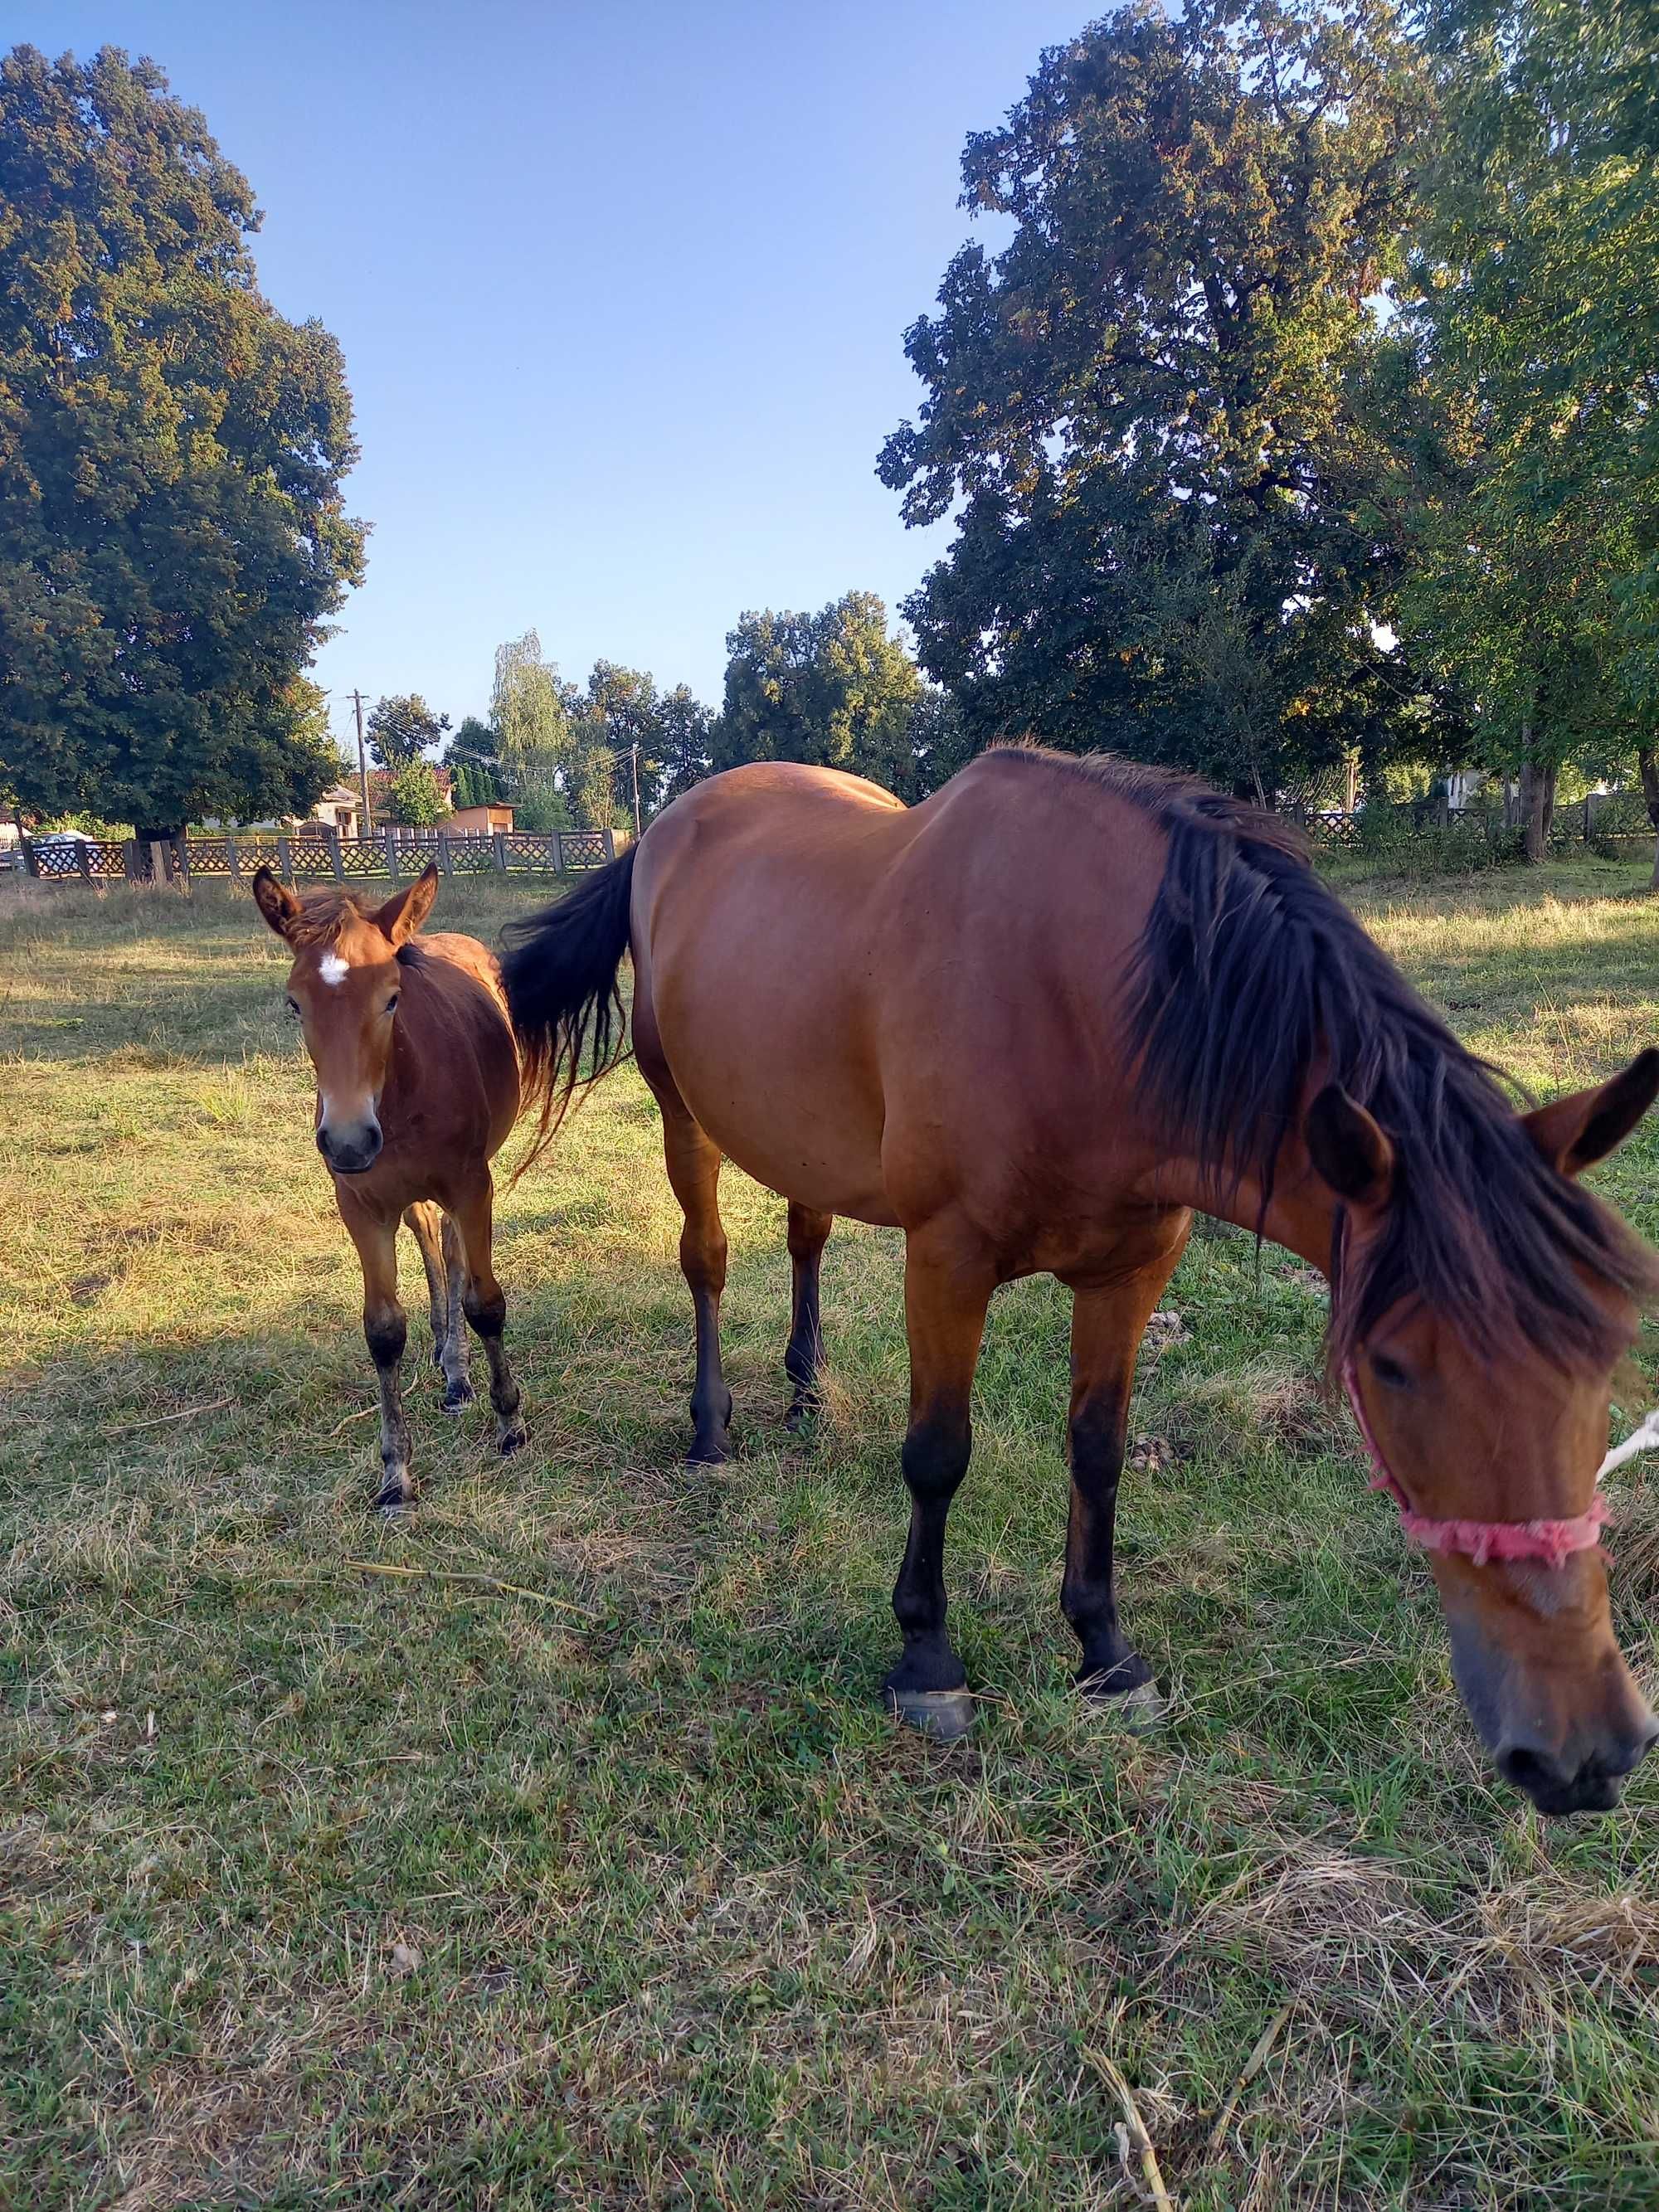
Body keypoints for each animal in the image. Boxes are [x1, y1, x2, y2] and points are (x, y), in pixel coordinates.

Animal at [255, 858, 526, 1504]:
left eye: (392, 998)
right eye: (294, 1004)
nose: (349, 1140)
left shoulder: (472, 1185)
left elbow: (484, 1301)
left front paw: (510, 1421)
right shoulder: (360, 1204)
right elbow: (382, 1330)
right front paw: (395, 1471)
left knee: (451, 1250)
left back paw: (458, 1368)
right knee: (430, 1236)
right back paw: (448, 1362)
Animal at [504, 751, 1659, 1822]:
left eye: (1608, 1345)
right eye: (1389, 1366)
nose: (1583, 1750)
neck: (1081, 998)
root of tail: (667, 825)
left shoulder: (1130, 1272)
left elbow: (1098, 1451)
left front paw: (1104, 1649)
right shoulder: (947, 1260)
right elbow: (936, 1456)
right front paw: (927, 1661)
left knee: (806, 1232)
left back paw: (803, 1396)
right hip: (681, 1113)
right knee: (705, 1260)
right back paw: (712, 1430)